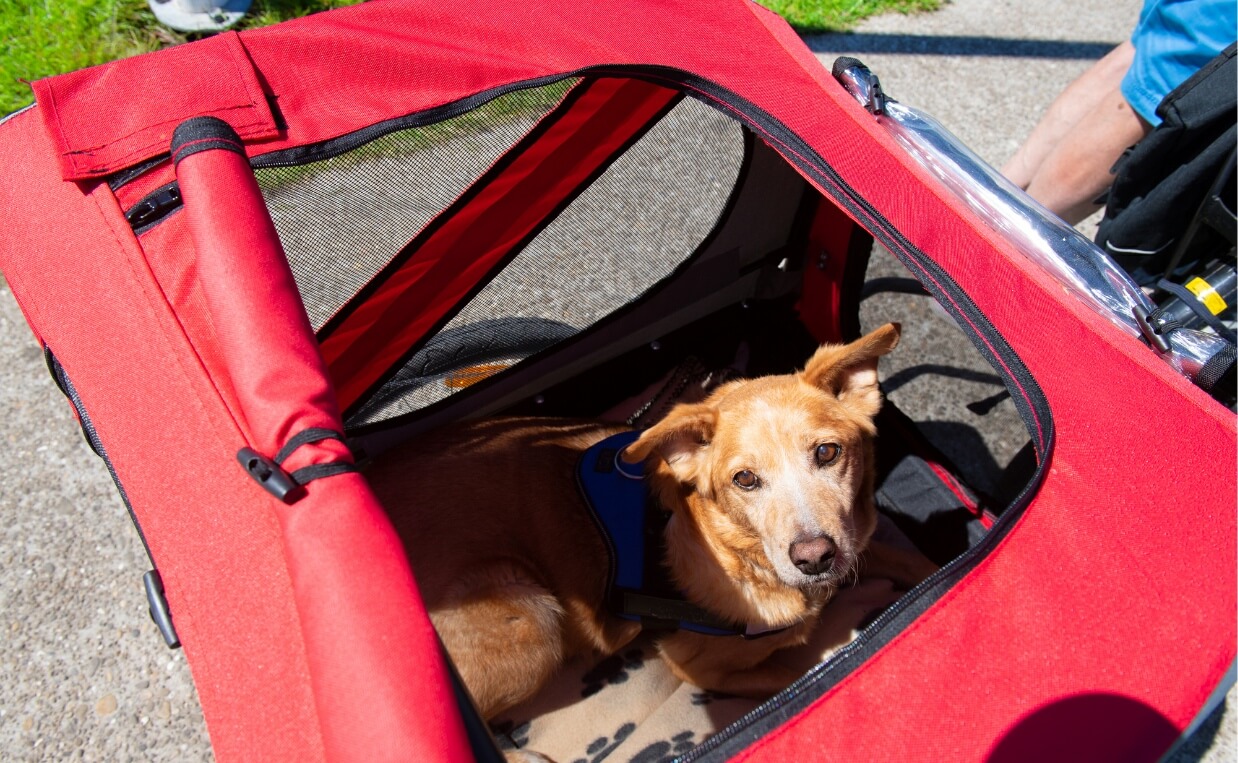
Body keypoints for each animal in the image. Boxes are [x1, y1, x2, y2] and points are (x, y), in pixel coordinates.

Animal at [371, 322, 930, 723]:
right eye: (745, 479)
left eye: (828, 452)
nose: (814, 559)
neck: (742, 556)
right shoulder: (698, 666)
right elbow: (802, 674)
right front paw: (839, 647)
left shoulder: (858, 539)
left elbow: (910, 559)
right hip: (529, 617)